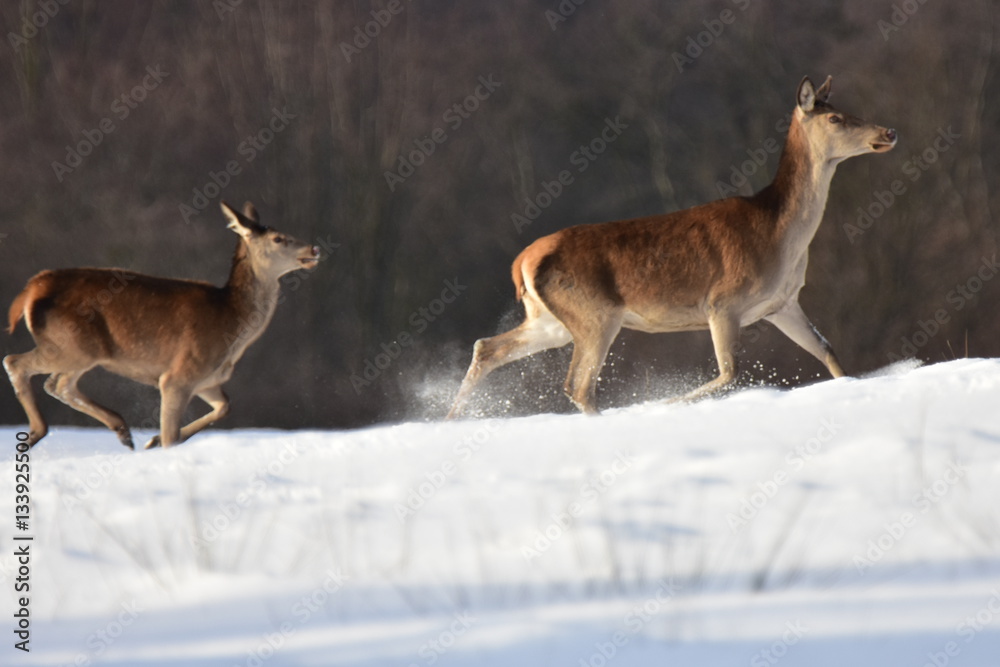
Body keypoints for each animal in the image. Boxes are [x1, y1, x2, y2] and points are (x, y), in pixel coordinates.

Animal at [4, 201, 320, 449]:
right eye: (278, 238)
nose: (314, 248)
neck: (230, 324)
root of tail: (31, 290)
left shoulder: (207, 379)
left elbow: (223, 406)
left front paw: (153, 440)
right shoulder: (180, 373)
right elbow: (172, 435)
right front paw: (161, 444)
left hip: (82, 350)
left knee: (58, 383)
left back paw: (122, 431)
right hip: (71, 344)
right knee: (16, 362)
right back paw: (36, 433)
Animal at [448, 76, 896, 418]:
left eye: (845, 109)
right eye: (835, 117)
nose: (888, 132)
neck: (781, 240)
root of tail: (521, 261)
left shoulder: (781, 304)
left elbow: (828, 352)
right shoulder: (722, 301)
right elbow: (729, 373)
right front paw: (664, 402)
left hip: (550, 319)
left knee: (487, 347)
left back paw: (451, 418)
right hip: (595, 314)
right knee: (578, 385)